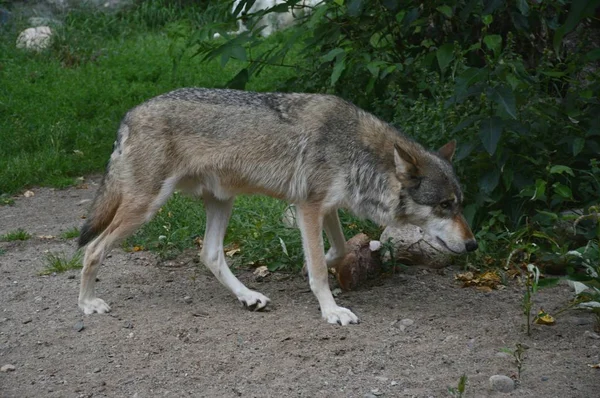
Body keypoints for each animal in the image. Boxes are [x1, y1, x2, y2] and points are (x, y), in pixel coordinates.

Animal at [78, 87, 478, 324]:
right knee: (93, 248)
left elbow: (337, 250)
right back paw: (87, 303)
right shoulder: (309, 207)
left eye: (460, 204)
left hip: (222, 202)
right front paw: (331, 310)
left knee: (210, 255)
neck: (355, 150)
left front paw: (314, 268)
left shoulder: (325, 208)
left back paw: (249, 297)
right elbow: (319, 270)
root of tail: (129, 115)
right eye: (445, 205)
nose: (473, 244)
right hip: (146, 208)